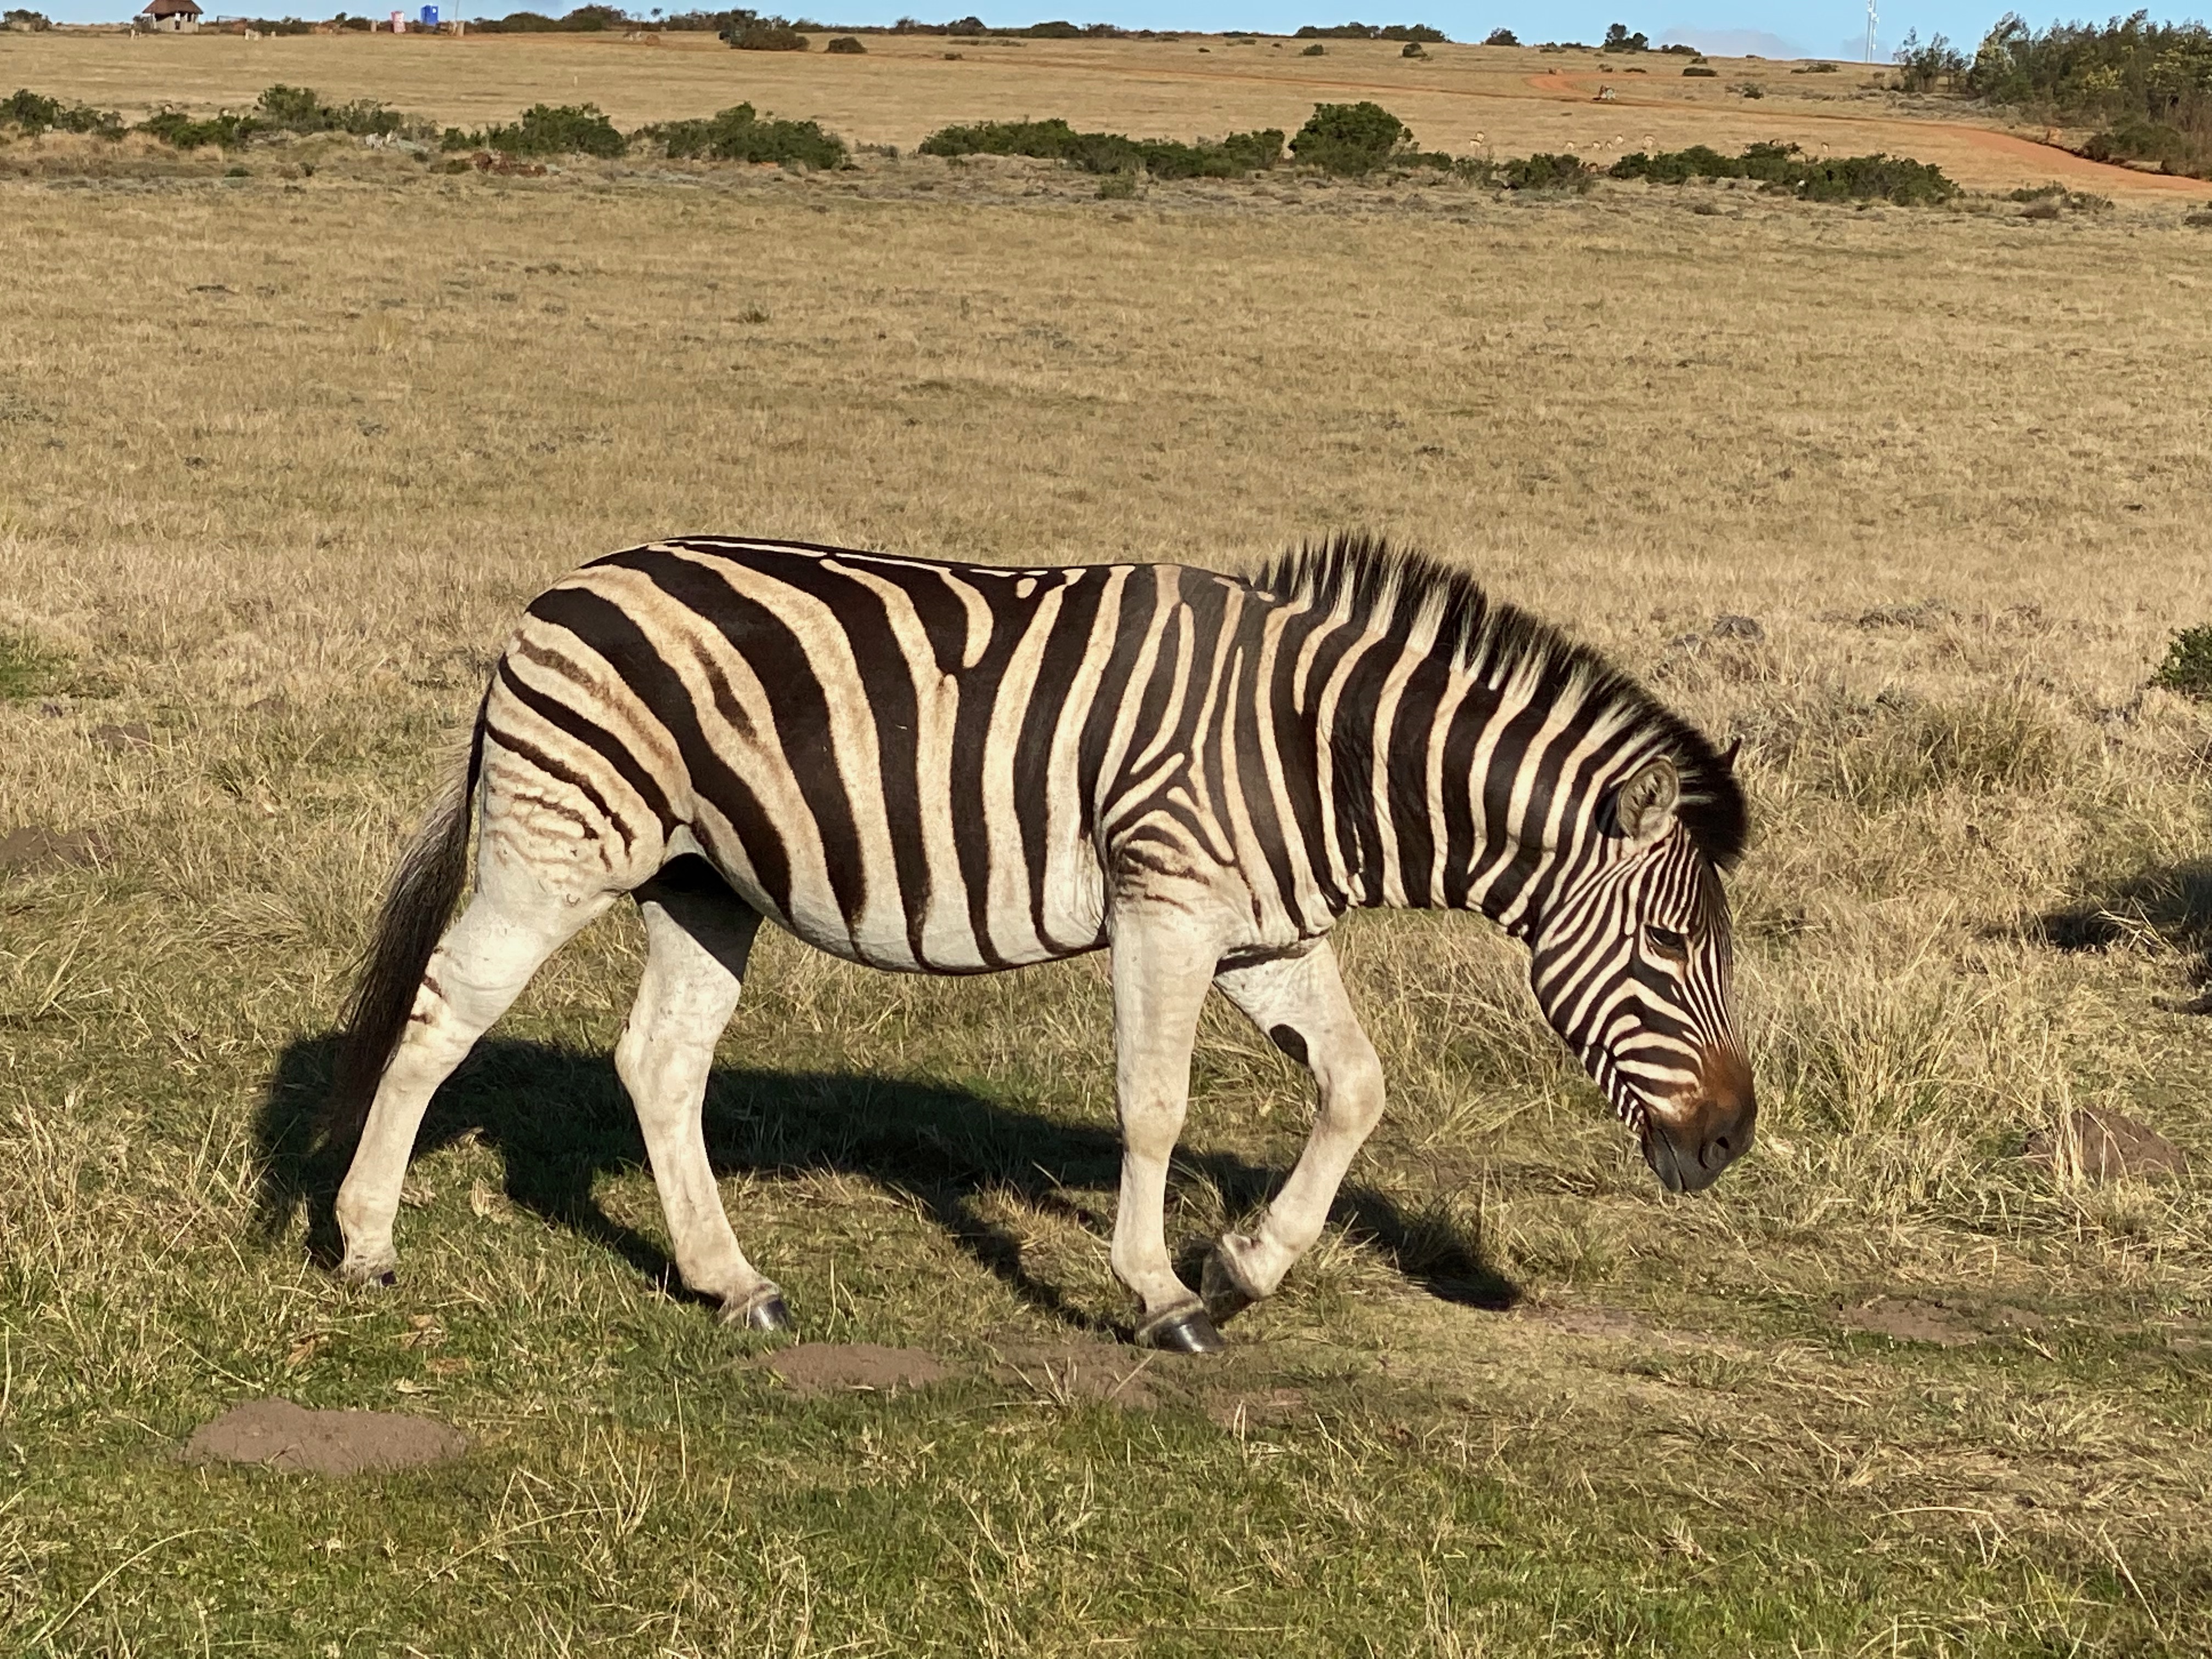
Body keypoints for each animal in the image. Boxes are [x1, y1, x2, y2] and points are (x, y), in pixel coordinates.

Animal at [328, 532, 1752, 1353]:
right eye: (1670, 945)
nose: (1734, 1141)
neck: (1318, 756)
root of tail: (556, 593)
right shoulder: (1166, 904)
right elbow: (1154, 1106)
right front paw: (1162, 1295)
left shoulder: (1265, 934)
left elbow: (1355, 1087)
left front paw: (1247, 1263)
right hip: (559, 846)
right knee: (441, 1017)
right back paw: (365, 1244)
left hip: (701, 881)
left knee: (659, 1062)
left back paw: (733, 1282)